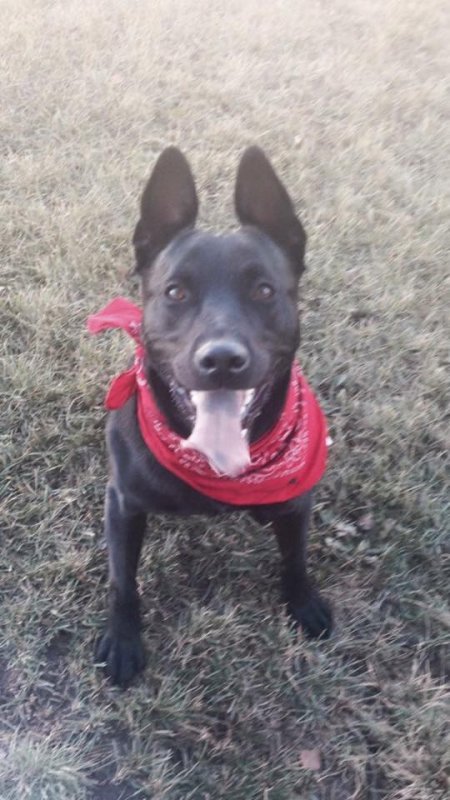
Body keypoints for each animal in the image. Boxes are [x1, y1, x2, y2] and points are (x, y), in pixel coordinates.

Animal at [89, 146, 332, 686]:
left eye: (264, 290)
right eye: (175, 293)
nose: (221, 360)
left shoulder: (296, 503)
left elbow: (296, 558)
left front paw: (303, 602)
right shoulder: (123, 504)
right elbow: (122, 581)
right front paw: (123, 639)